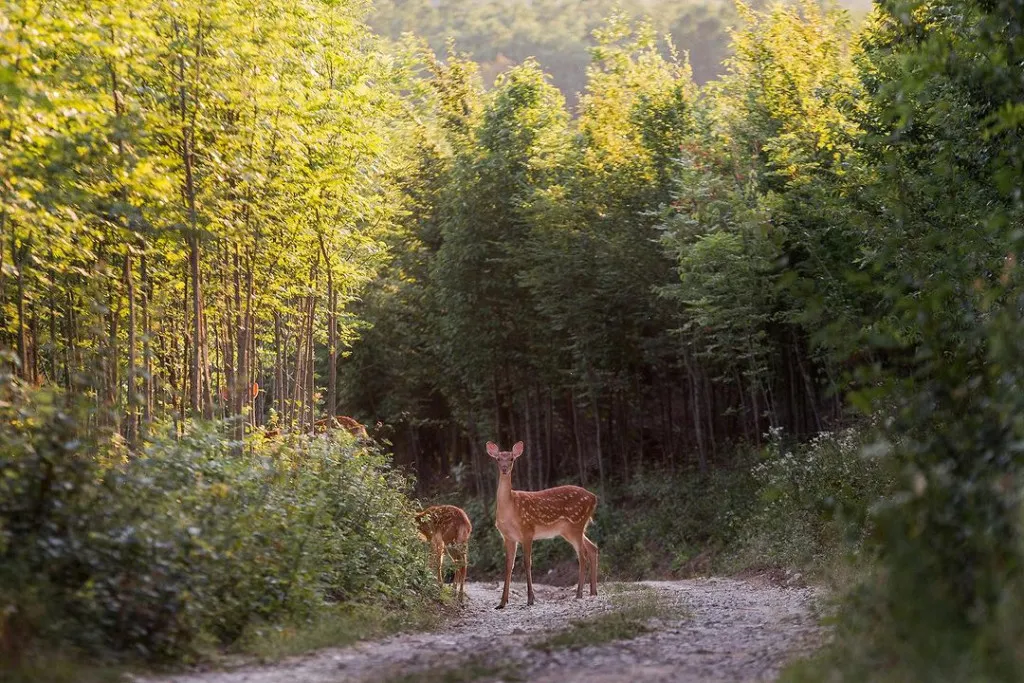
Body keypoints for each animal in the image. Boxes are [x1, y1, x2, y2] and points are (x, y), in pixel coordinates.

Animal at [487, 444, 598, 610]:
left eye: (512, 458)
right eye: (498, 458)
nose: (505, 468)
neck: (510, 508)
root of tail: (594, 498)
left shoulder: (527, 529)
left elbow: (527, 563)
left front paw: (530, 599)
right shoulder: (508, 537)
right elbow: (508, 565)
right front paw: (501, 603)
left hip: (577, 522)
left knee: (582, 555)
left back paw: (579, 594)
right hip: (570, 530)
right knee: (592, 548)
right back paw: (593, 592)